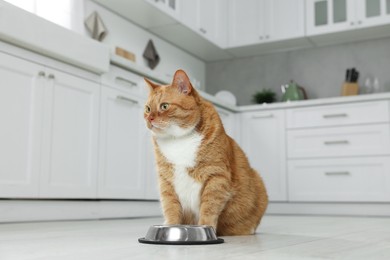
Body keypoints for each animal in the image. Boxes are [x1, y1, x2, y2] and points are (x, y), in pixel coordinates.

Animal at [144, 69, 268, 236]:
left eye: (164, 106)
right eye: (148, 109)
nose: (149, 119)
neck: (177, 140)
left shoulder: (216, 176)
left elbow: (209, 207)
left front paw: (205, 227)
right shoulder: (166, 181)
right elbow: (170, 207)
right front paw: (170, 227)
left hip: (259, 182)